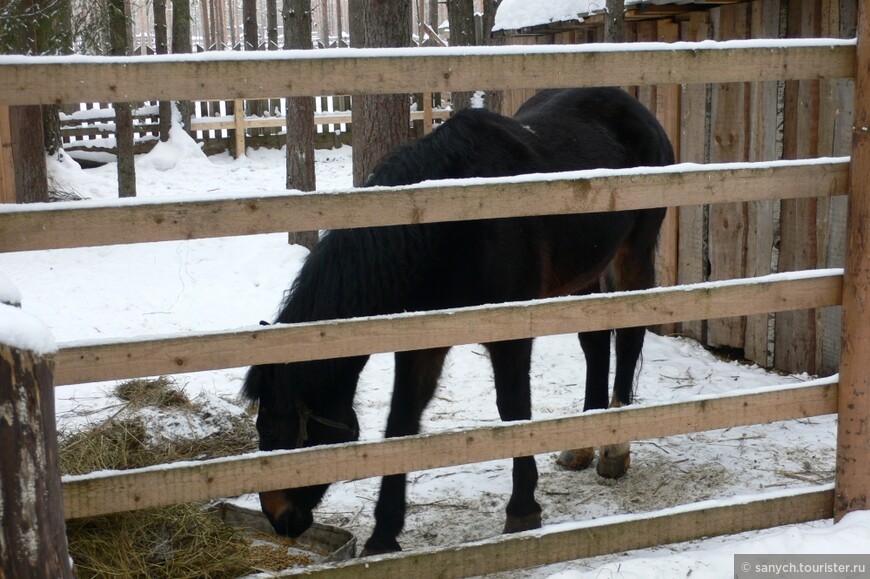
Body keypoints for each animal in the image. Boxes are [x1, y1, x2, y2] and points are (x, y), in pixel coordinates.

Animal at [242, 87, 676, 556]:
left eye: (277, 427)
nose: (279, 518)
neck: (449, 227)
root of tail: (634, 107)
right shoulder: (422, 340)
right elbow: (401, 421)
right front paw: (383, 536)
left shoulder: (509, 333)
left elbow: (513, 411)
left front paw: (522, 510)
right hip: (584, 271)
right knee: (595, 341)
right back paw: (580, 446)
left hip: (633, 253)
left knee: (629, 338)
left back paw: (614, 450)